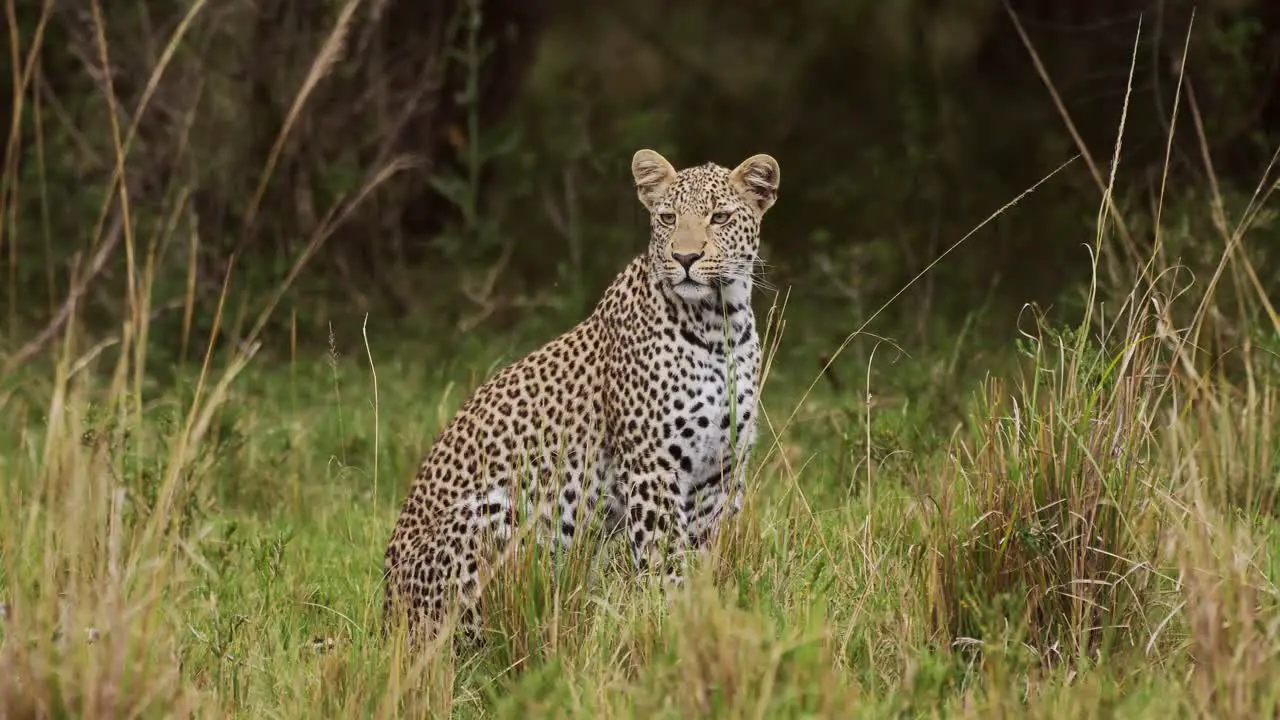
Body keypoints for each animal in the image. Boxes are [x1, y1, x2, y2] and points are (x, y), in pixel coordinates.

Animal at [378, 147, 778, 638]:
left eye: (719, 217)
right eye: (667, 218)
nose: (684, 257)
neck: (721, 323)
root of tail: (387, 610)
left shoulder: (719, 472)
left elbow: (702, 558)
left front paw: (701, 617)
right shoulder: (652, 468)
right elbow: (664, 559)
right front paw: (670, 623)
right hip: (498, 513)